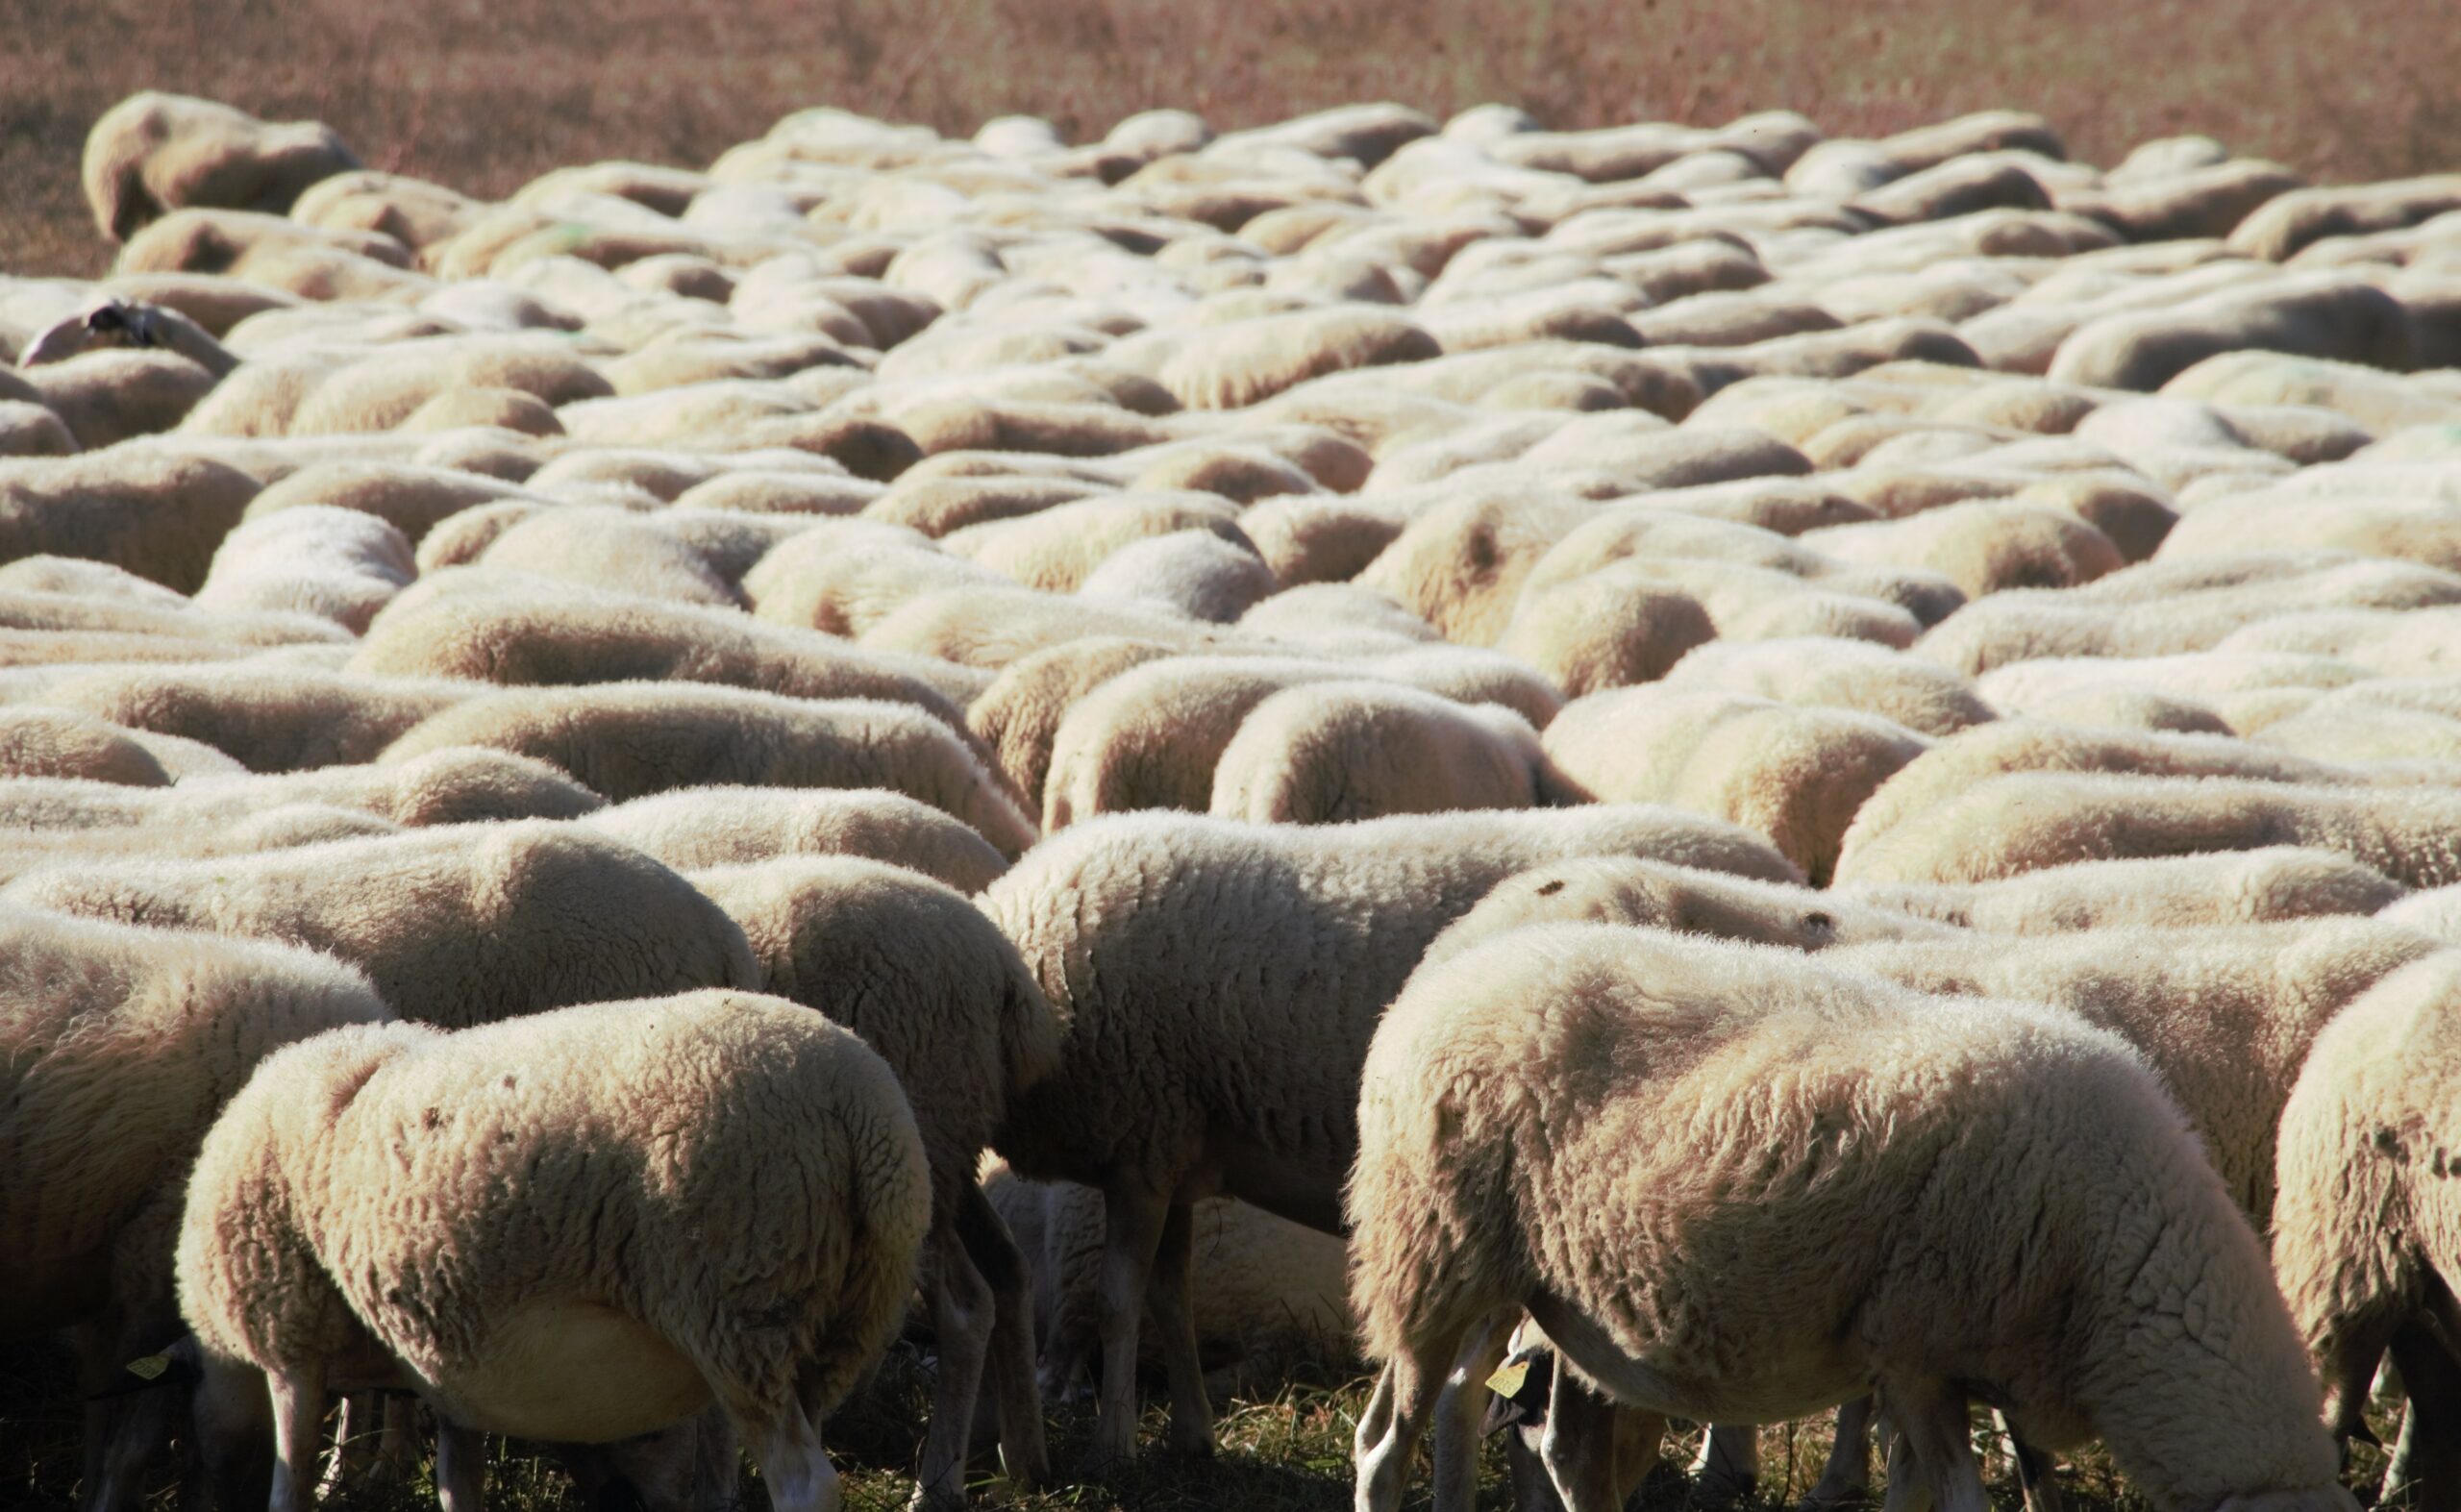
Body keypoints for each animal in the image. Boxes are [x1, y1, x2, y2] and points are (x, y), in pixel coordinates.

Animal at [171, 990, 930, 1512]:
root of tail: (865, 1109)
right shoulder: (449, 1370)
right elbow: (458, 1481)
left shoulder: (289, 1336)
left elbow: (291, 1475)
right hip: (829, 1324)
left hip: (739, 1302)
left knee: (805, 1482)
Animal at [689, 858, 1063, 1501]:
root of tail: (1002, 968)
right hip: (947, 1146)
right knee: (1010, 1268)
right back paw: (1023, 1461)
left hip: (915, 1150)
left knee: (967, 1307)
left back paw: (936, 1486)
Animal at [984, 806, 1800, 1465]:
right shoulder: (1175, 1152)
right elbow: (1168, 1297)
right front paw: (1192, 1435)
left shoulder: (1138, 1147)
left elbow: (1119, 1300)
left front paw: (1115, 1443)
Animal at [1347, 922, 2352, 1512]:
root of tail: (1447, 977)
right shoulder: (1915, 1348)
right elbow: (1958, 1503)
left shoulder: (1938, 1364)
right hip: (1431, 1250)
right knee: (1384, 1443)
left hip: (1526, 1282)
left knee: (1521, 1427)